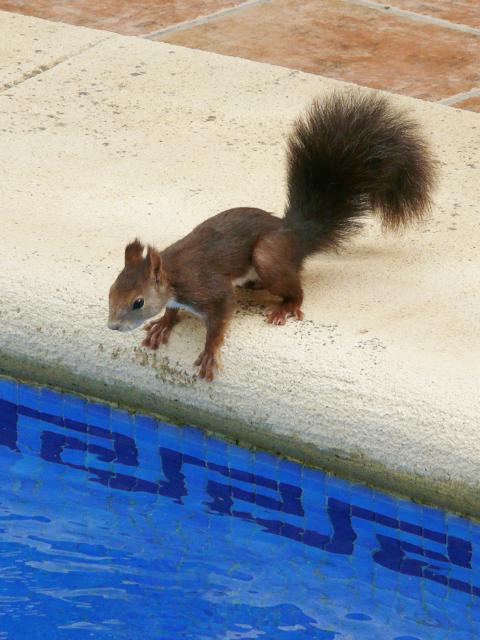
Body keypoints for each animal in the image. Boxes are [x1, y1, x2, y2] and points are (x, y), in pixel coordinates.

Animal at [108, 91, 437, 381]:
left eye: (137, 302)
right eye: (111, 291)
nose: (112, 326)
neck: (173, 274)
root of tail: (296, 234)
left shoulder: (208, 288)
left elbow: (220, 319)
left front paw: (210, 352)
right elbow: (173, 311)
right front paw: (164, 323)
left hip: (268, 256)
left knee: (296, 289)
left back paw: (286, 307)